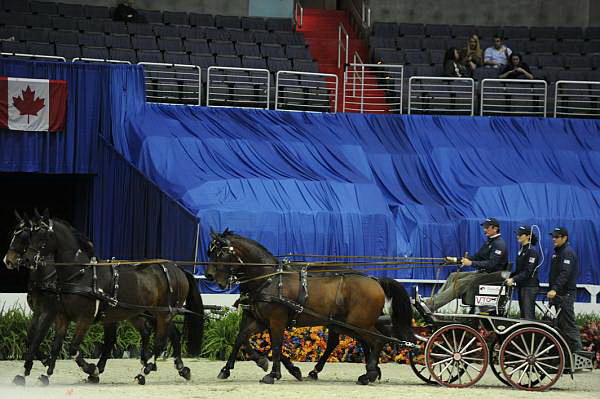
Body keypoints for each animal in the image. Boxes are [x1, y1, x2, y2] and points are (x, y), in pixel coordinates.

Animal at [4, 212, 206, 384]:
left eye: (39, 237)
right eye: (27, 235)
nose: (17, 260)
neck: (79, 274)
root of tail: (177, 268)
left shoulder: (77, 317)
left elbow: (70, 348)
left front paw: (90, 369)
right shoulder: (60, 316)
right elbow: (52, 344)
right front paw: (43, 374)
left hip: (163, 313)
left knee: (161, 341)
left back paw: (146, 370)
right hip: (139, 313)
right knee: (155, 334)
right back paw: (175, 367)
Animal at [204, 230, 414, 386]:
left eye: (221, 253)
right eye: (209, 252)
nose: (209, 277)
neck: (268, 279)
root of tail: (375, 280)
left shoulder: (276, 319)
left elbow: (276, 345)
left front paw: (273, 373)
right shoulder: (258, 318)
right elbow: (241, 338)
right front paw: (231, 368)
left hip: (357, 324)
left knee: (377, 341)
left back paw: (368, 374)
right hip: (345, 324)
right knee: (362, 342)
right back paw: (367, 371)